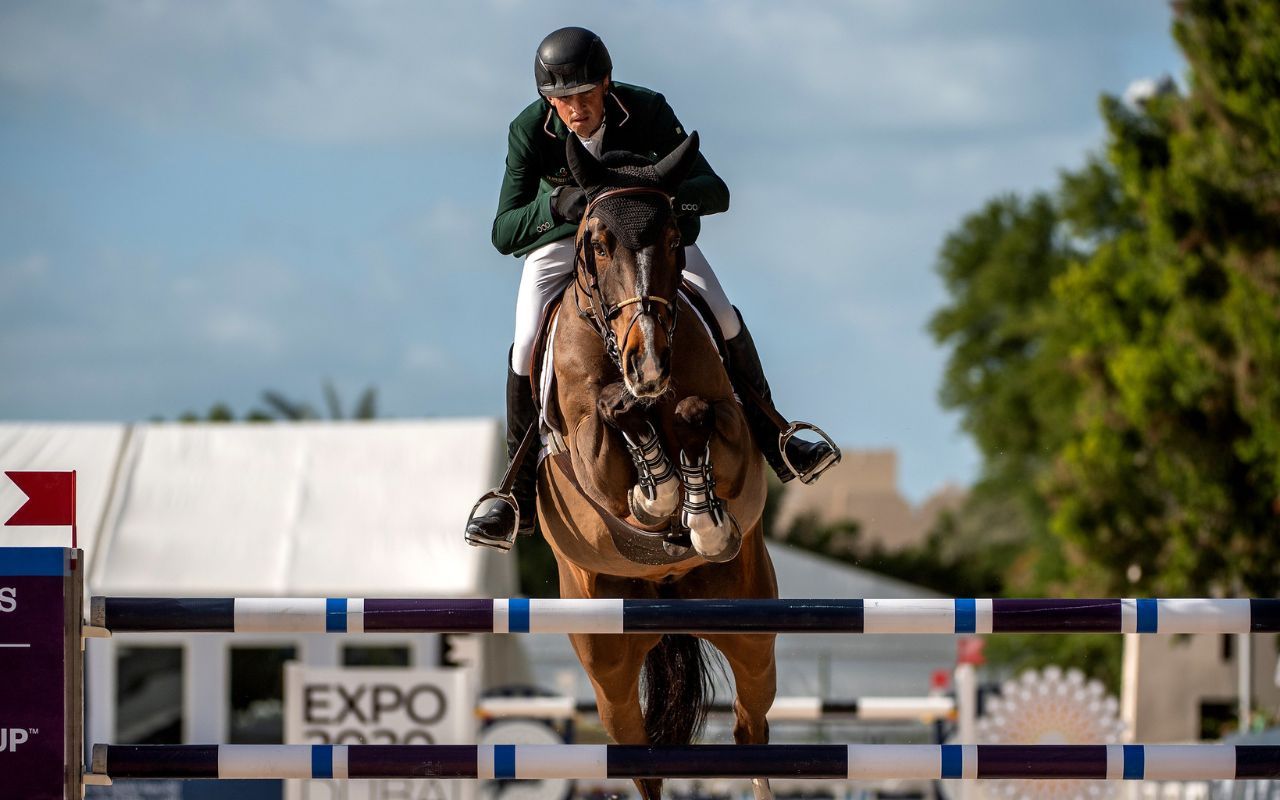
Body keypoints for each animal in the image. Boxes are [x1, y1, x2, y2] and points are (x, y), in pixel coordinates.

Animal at [532, 134, 773, 798]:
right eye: (597, 243)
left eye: (672, 237)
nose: (649, 362)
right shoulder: (586, 456)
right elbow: (615, 417)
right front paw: (658, 494)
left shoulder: (734, 431)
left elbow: (696, 415)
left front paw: (701, 517)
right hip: (607, 663)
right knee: (640, 759)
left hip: (753, 632)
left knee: (750, 728)